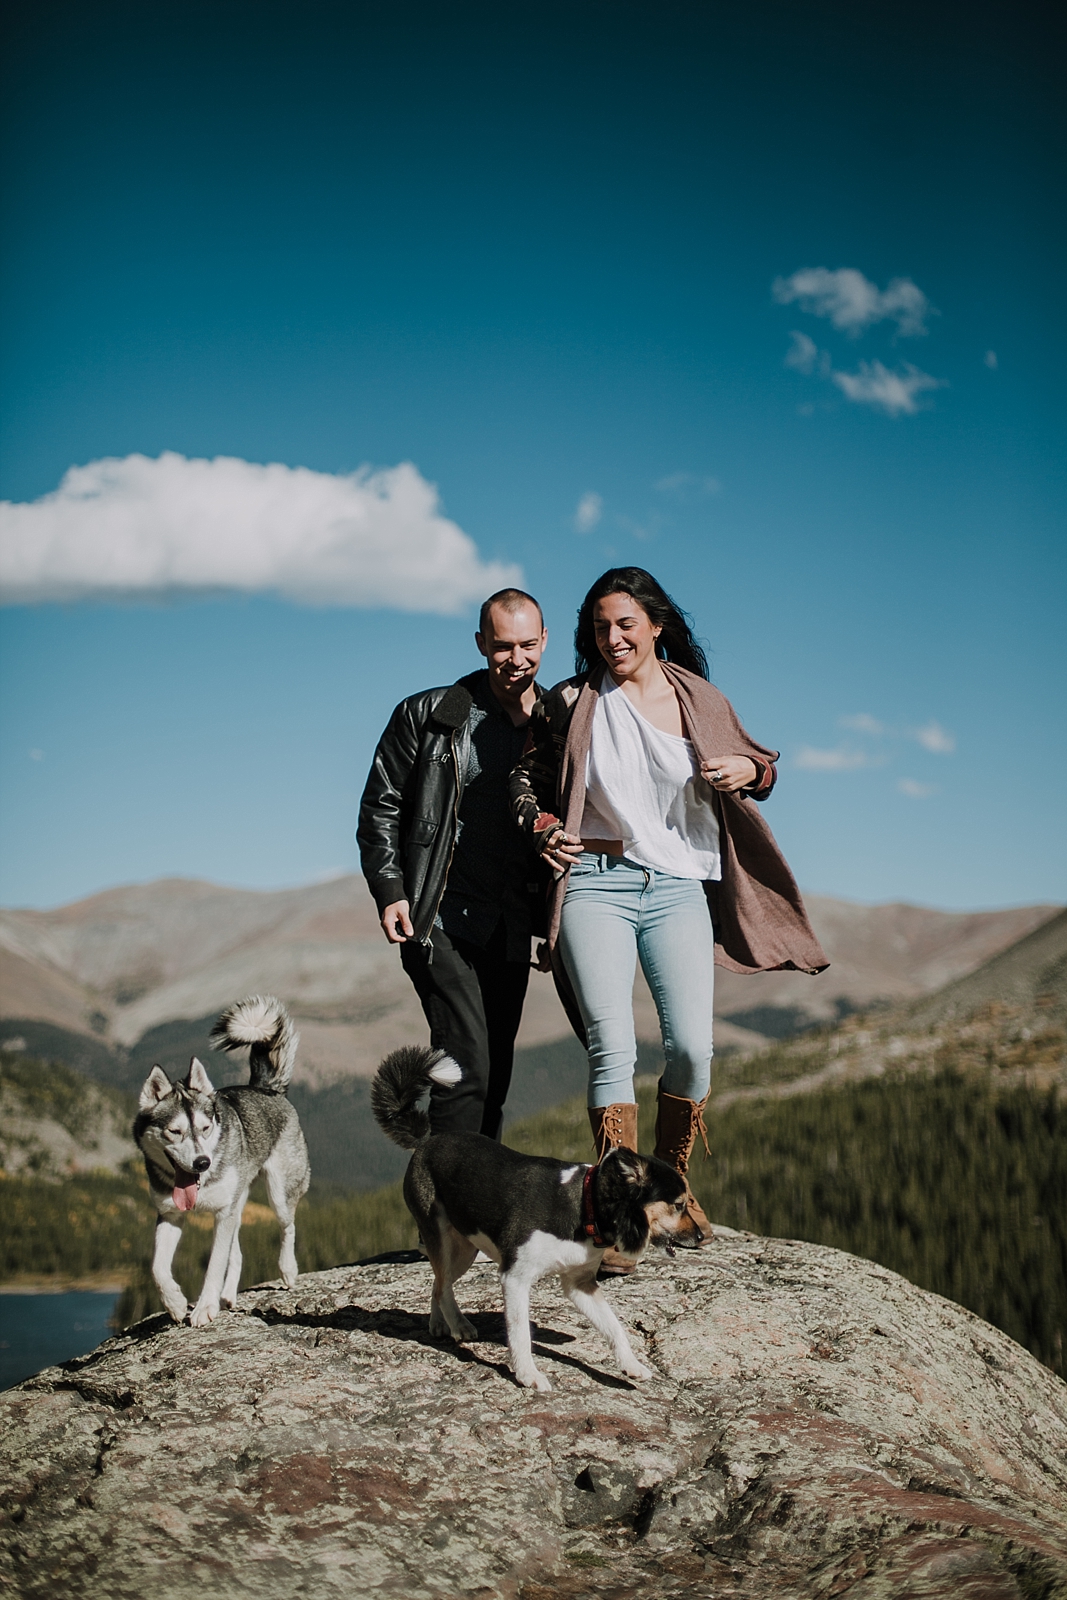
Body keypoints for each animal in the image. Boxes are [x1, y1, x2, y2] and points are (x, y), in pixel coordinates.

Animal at [133, 998, 308, 1324]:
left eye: (205, 1128)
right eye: (174, 1131)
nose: (202, 1162)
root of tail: (266, 1088)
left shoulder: (222, 1214)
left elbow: (215, 1264)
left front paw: (204, 1307)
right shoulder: (170, 1214)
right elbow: (157, 1267)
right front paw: (175, 1303)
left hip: (278, 1194)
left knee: (287, 1227)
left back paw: (288, 1270)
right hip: (238, 1205)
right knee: (237, 1253)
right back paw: (227, 1296)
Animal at [371, 1043, 703, 1395]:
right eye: (678, 1205)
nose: (700, 1237)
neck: (585, 1206)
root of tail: (427, 1142)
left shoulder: (580, 1284)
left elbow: (614, 1326)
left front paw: (631, 1366)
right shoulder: (515, 1278)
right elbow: (520, 1334)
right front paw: (527, 1375)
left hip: (466, 1249)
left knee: (437, 1282)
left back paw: (439, 1323)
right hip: (444, 1239)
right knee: (443, 1282)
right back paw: (459, 1324)